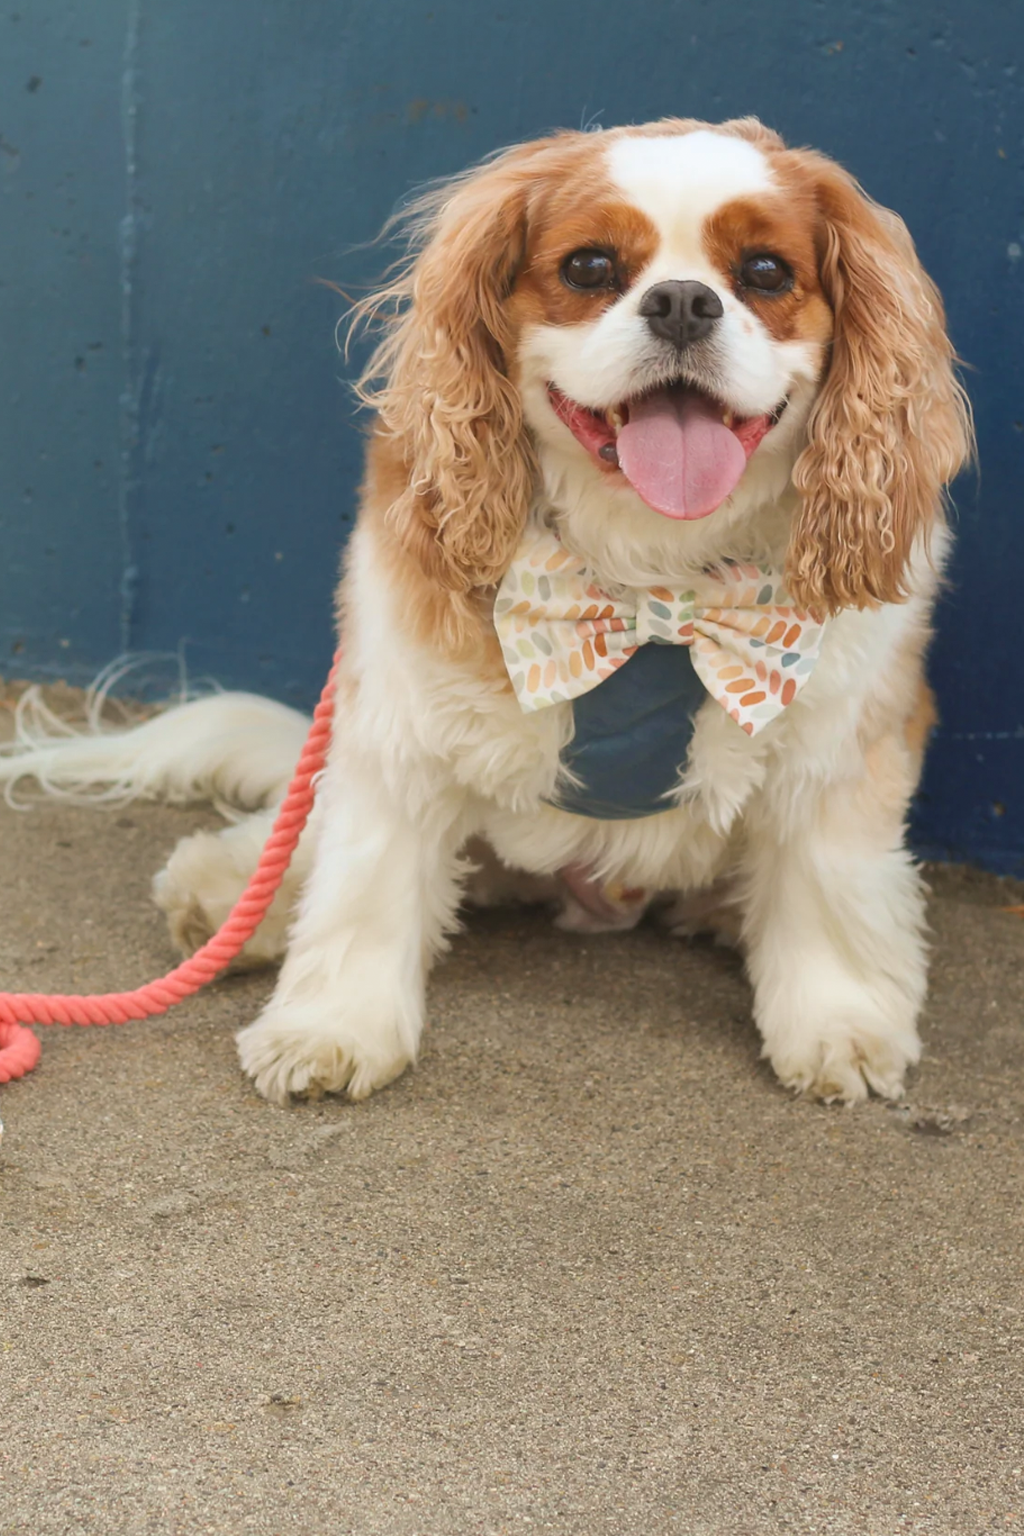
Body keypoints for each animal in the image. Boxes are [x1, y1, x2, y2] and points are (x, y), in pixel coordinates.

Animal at [0, 116, 976, 1105]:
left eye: (768, 273)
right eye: (590, 266)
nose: (682, 302)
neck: (652, 585)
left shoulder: (839, 748)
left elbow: (829, 889)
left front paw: (838, 1023)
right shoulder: (400, 718)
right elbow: (366, 880)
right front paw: (332, 1028)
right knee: (300, 831)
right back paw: (229, 898)